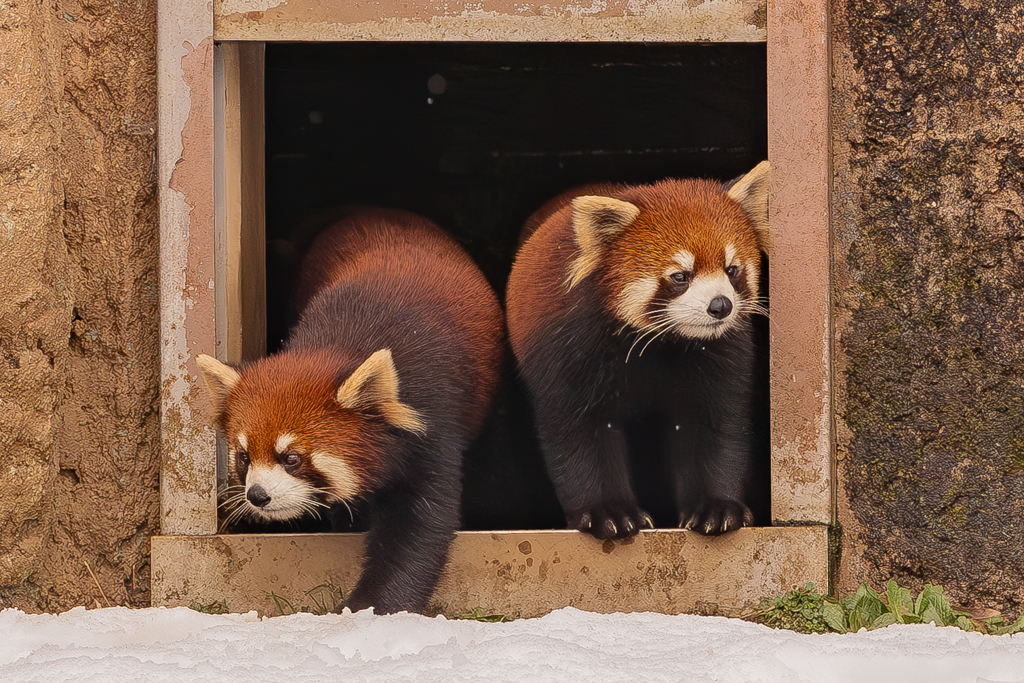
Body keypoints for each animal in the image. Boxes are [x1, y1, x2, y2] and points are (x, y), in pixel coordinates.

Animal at [194, 206, 503, 614]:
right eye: (244, 457)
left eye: (291, 458)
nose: (257, 496)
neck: (338, 345)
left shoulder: (433, 422)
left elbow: (417, 526)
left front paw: (370, 607)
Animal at [503, 160, 770, 540]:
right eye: (680, 276)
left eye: (732, 270)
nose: (721, 305)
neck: (661, 342)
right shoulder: (567, 349)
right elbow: (579, 432)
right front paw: (608, 512)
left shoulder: (722, 355)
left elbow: (714, 427)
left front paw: (716, 508)